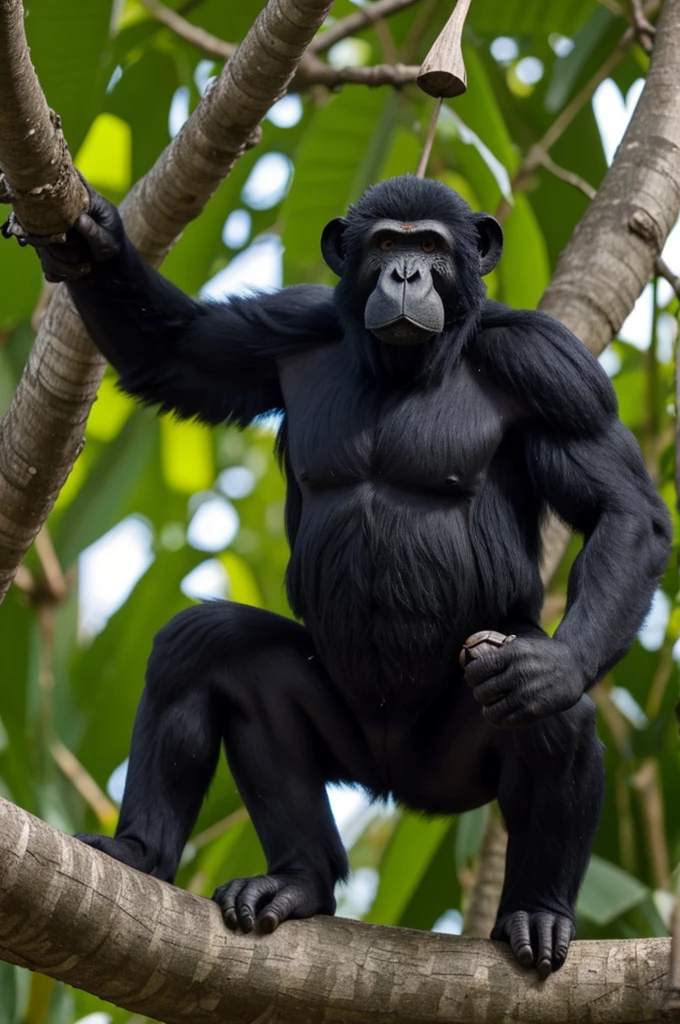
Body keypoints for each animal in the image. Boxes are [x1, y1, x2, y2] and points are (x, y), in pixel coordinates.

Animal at [22, 176, 667, 974]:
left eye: (432, 247)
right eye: (387, 242)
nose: (406, 274)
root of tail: (392, 789)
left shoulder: (553, 368)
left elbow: (623, 510)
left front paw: (554, 668)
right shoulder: (288, 325)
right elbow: (176, 352)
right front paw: (90, 236)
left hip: (452, 764)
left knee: (554, 716)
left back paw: (537, 912)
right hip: (349, 741)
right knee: (205, 647)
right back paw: (217, 866)